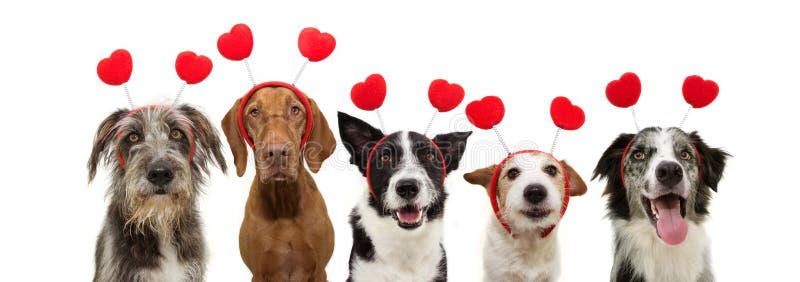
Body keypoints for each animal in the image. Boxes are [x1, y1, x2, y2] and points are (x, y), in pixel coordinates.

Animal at [220, 86, 336, 282]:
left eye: (295, 110)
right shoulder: (258, 273)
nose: (276, 153)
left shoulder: (320, 271)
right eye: (254, 112)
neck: (284, 204)